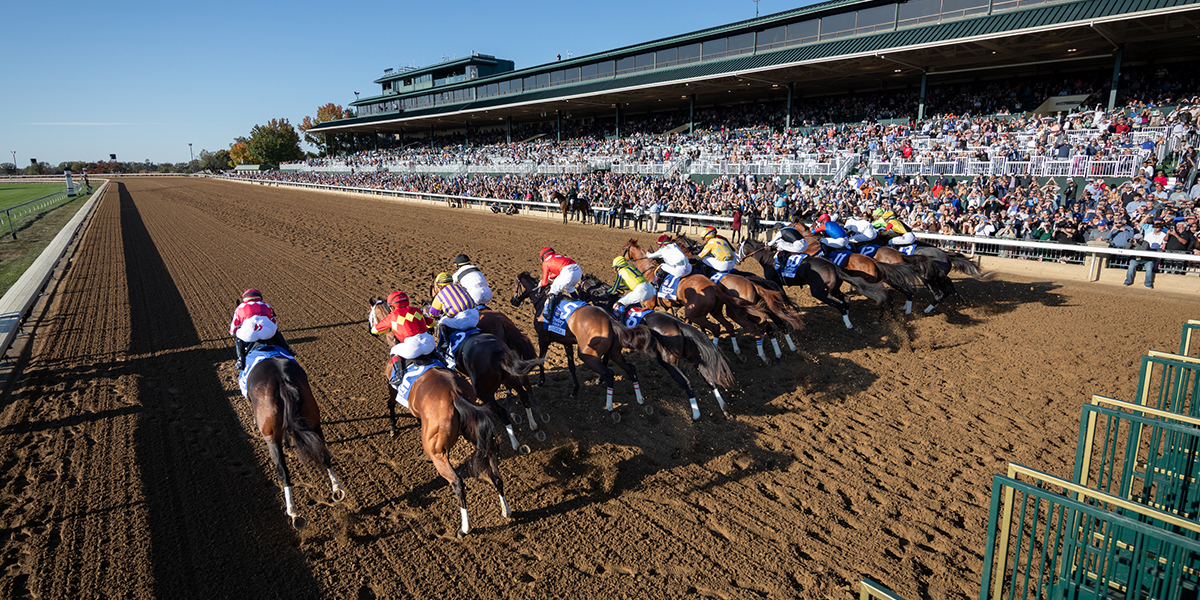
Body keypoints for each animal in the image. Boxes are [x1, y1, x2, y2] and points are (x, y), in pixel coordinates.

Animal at [244, 352, 348, 528]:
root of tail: (282, 383)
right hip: (314, 421)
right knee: (323, 455)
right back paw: (336, 488)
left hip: (271, 437)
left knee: (283, 472)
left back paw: (294, 513)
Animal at [506, 272, 657, 422]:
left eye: (514, 286)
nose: (513, 301)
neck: (543, 300)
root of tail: (610, 320)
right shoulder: (566, 342)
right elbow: (571, 366)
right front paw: (575, 390)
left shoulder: (543, 339)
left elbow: (540, 360)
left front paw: (541, 381)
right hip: (615, 353)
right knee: (631, 369)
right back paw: (642, 402)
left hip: (587, 355)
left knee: (609, 374)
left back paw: (610, 408)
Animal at [576, 274, 734, 420]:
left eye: (578, 288)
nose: (577, 299)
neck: (607, 302)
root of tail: (679, 324)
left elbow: (605, 359)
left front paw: (599, 379)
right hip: (693, 357)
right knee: (709, 379)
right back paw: (724, 408)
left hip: (667, 361)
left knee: (686, 382)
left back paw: (696, 415)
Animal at [619, 237, 777, 352]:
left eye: (623, 249)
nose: (619, 259)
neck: (650, 271)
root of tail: (752, 283)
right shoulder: (670, 306)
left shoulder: (652, 304)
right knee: (761, 325)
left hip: (734, 312)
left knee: (751, 327)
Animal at [734, 237, 897, 331]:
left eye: (738, 248)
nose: (737, 260)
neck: (768, 259)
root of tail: (835, 268)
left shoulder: (775, 282)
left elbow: (783, 297)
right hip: (834, 289)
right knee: (845, 300)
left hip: (819, 292)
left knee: (840, 305)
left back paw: (849, 325)